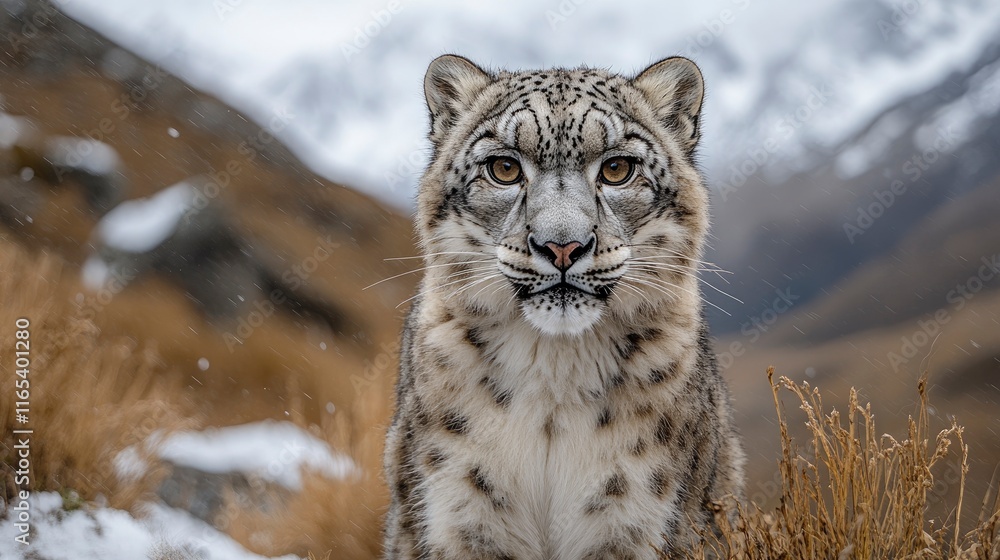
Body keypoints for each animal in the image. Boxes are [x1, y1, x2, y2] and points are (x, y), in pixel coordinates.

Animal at [383, 54, 745, 559]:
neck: (553, 373)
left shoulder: (636, 521)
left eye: (617, 168)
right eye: (504, 168)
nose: (562, 246)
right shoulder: (460, 514)